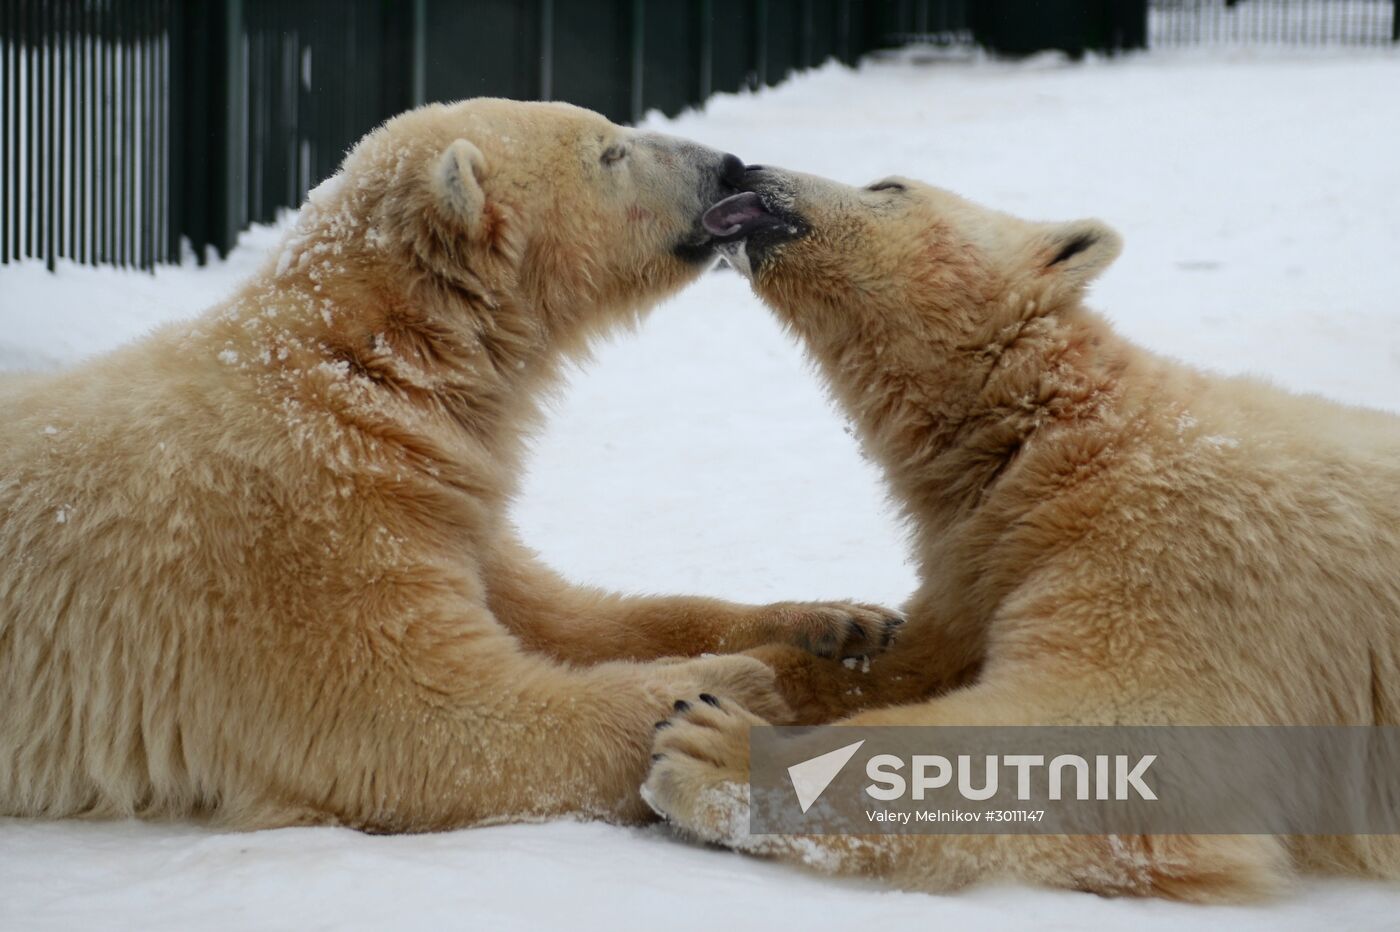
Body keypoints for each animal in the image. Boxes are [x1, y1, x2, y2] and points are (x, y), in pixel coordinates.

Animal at [0, 101, 896, 828]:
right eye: (610, 150)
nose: (729, 166)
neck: (360, 383)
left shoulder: (442, 496)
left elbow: (569, 614)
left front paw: (841, 623)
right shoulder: (290, 541)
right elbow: (425, 724)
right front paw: (740, 685)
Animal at [644, 167, 1400, 901]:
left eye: (888, 185)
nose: (750, 170)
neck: (1062, 436)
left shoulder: (1174, 561)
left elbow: (1101, 742)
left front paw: (708, 742)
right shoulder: (984, 551)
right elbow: (909, 658)